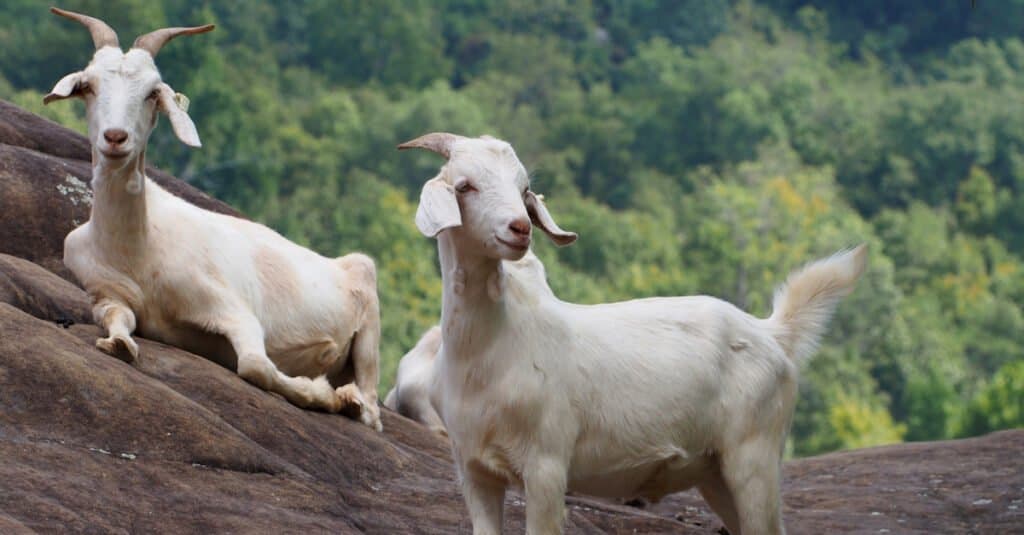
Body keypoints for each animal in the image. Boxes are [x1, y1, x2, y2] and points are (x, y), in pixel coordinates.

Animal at [47, 8, 380, 428]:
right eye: (88, 85)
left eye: (152, 93)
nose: (115, 138)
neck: (138, 245)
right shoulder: (104, 293)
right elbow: (119, 330)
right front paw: (119, 344)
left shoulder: (230, 306)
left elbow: (255, 365)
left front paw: (319, 392)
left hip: (369, 317)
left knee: (372, 408)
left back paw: (350, 400)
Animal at [397, 130, 864, 532]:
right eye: (464, 186)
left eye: (524, 188)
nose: (520, 228)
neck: (491, 349)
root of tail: (772, 332)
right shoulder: (474, 471)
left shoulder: (547, 465)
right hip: (716, 471)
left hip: (755, 453)